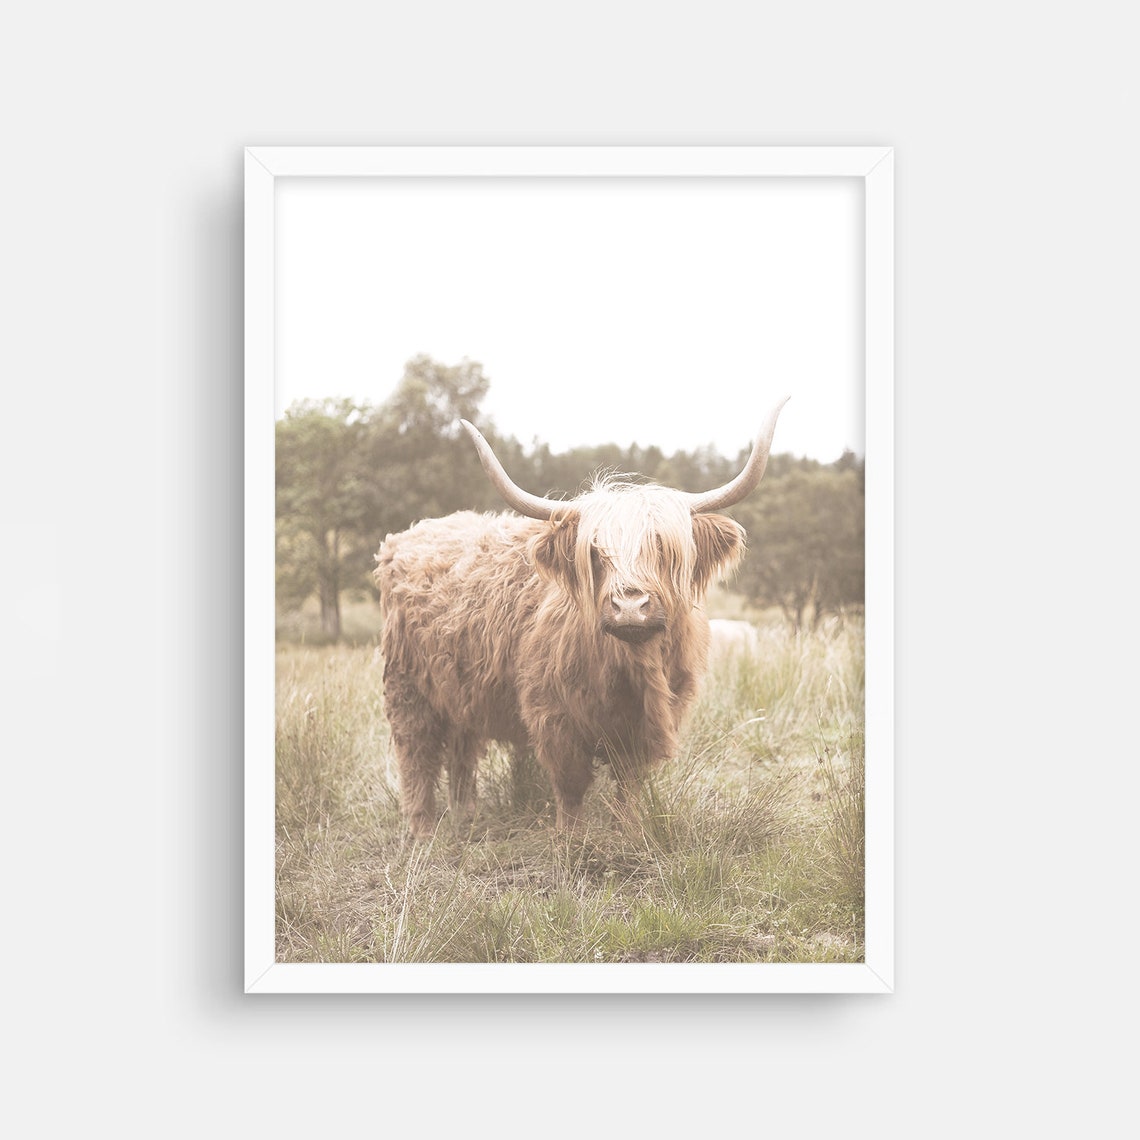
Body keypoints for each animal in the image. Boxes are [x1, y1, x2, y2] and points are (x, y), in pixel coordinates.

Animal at [374, 398, 788, 838]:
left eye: (662, 547)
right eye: (594, 551)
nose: (629, 606)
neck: (630, 670)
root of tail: (409, 534)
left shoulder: (649, 723)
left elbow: (629, 785)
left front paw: (628, 832)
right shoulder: (554, 717)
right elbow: (570, 785)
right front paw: (571, 841)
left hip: (460, 690)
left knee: (462, 752)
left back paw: (465, 817)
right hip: (407, 688)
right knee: (416, 756)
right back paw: (422, 831)